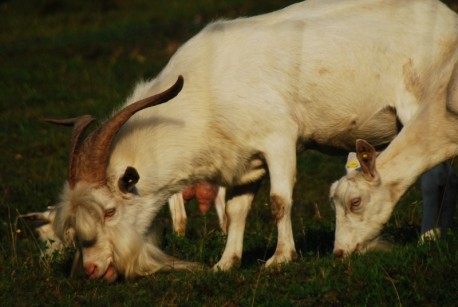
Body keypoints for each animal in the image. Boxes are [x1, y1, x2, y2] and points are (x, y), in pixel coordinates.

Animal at [48, 0, 456, 282]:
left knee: (432, 176)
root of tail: (448, 18)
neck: (205, 90)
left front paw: (280, 258)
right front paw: (225, 263)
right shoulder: (244, 161)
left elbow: (278, 201)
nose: (93, 269)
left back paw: (428, 237)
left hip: (420, 105)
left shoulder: (279, 139)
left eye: (109, 211)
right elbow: (236, 210)